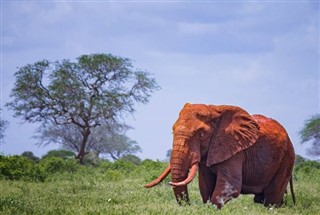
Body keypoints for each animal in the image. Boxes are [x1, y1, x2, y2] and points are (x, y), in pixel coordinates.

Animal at [145, 103, 296, 208]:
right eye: (172, 131)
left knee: (271, 199)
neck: (214, 110)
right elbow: (205, 187)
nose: (188, 206)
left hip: (287, 159)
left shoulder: (236, 150)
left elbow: (229, 187)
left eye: (201, 134)